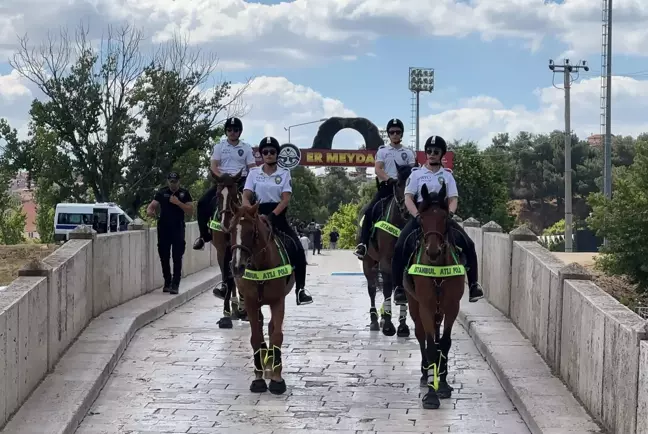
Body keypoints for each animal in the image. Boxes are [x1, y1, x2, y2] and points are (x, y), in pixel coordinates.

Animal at [225, 202, 292, 396]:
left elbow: (277, 335)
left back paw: (270, 363)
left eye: (252, 232)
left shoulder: (278, 301)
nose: (237, 266)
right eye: (231, 230)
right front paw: (258, 378)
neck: (261, 265)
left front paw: (277, 379)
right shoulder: (250, 302)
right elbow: (255, 337)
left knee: (270, 327)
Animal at [362, 163, 412, 336]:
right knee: (371, 289)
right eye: (398, 184)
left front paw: (402, 325)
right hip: (368, 261)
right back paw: (374, 320)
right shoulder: (385, 261)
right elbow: (387, 290)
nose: (407, 209)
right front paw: (389, 326)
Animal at [402, 182, 464, 410]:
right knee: (421, 336)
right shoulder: (426, 307)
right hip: (414, 305)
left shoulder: (452, 307)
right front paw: (430, 394)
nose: (433, 251)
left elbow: (444, 343)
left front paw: (443, 384)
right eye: (421, 218)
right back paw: (425, 373)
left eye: (445, 217)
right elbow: (429, 346)